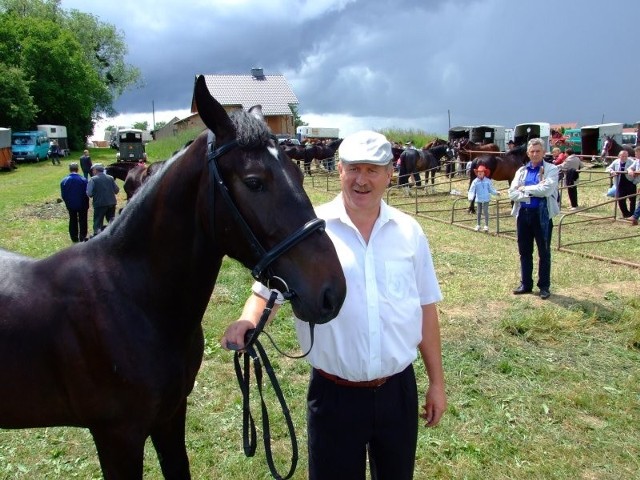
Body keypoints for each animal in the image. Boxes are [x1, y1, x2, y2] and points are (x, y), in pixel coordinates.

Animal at [0, 75, 348, 480]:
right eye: (254, 182)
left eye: (297, 173)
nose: (332, 292)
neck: (132, 302)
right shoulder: (117, 437)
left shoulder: (170, 415)